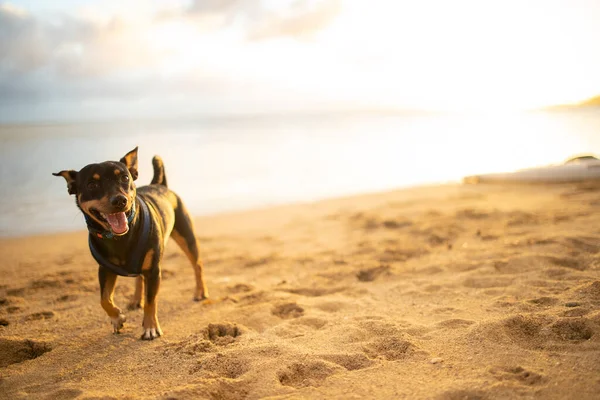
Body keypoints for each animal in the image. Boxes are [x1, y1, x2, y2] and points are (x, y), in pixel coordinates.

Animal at [54, 148, 209, 340]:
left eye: (125, 178)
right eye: (91, 185)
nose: (119, 200)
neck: (119, 237)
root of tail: (160, 184)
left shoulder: (153, 271)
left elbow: (151, 301)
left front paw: (150, 328)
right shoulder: (104, 269)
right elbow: (104, 298)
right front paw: (117, 318)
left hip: (186, 235)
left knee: (197, 264)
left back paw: (200, 292)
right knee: (138, 278)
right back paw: (136, 300)